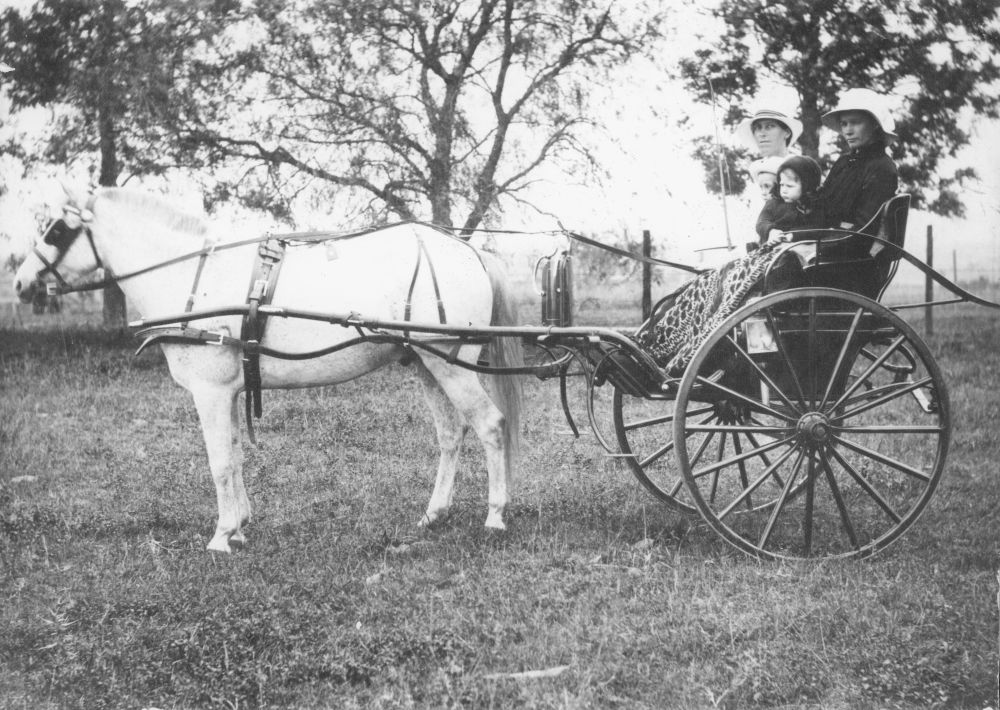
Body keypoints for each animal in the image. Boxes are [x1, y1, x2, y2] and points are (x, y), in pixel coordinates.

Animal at [13, 186, 523, 553]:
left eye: (55, 230)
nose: (19, 283)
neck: (194, 279)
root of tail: (469, 250)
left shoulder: (210, 392)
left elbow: (219, 461)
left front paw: (221, 536)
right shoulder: (231, 391)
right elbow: (236, 456)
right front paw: (239, 525)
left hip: (450, 362)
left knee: (490, 425)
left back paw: (496, 515)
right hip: (425, 362)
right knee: (451, 435)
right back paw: (434, 514)